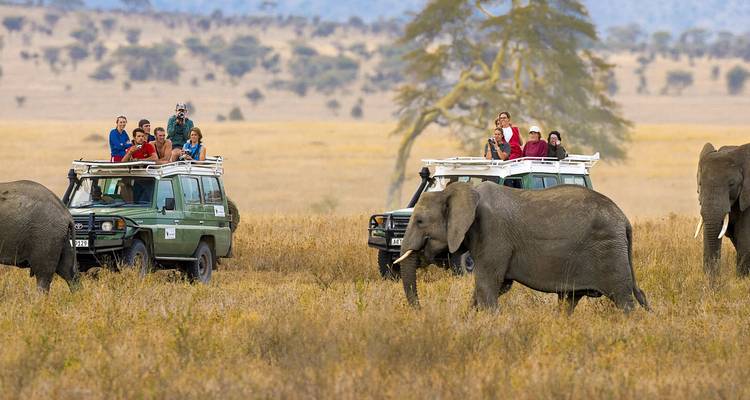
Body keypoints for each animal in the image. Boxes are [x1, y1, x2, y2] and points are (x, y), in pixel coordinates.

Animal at [394, 182, 649, 314]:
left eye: (420, 221)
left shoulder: (493, 234)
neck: (462, 189)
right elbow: (495, 287)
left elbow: (488, 285)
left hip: (609, 251)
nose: (421, 311)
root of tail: (624, 220)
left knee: (623, 299)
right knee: (569, 300)